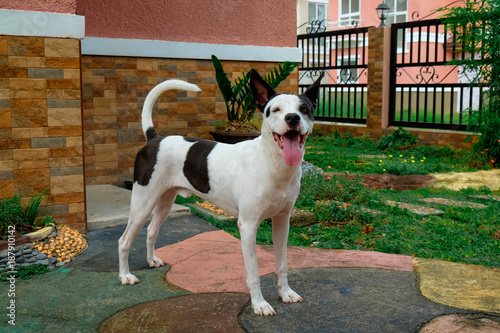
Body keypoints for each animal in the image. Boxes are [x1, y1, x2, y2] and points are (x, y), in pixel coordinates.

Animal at [118, 69, 324, 314]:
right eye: (275, 110)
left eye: (305, 109)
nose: (292, 118)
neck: (271, 163)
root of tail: (155, 139)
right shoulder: (248, 227)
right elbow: (253, 272)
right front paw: (259, 303)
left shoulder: (282, 221)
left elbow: (282, 263)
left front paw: (285, 293)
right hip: (142, 203)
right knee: (124, 241)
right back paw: (125, 276)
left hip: (165, 200)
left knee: (151, 230)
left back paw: (151, 261)